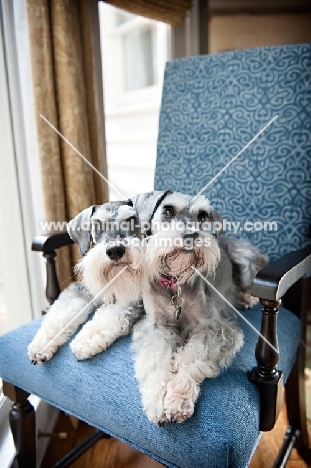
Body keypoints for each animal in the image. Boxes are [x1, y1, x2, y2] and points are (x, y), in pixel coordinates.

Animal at [27, 199, 143, 364]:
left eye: (131, 220)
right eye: (97, 225)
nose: (115, 250)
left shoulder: (133, 300)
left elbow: (113, 314)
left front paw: (85, 341)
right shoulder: (82, 291)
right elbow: (60, 313)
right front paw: (41, 346)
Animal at [130, 190, 266, 424]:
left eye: (202, 215)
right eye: (168, 211)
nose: (191, 236)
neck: (175, 281)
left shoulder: (212, 327)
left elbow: (192, 356)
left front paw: (177, 399)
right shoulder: (156, 326)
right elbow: (157, 359)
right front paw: (156, 399)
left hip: (243, 256)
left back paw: (248, 299)